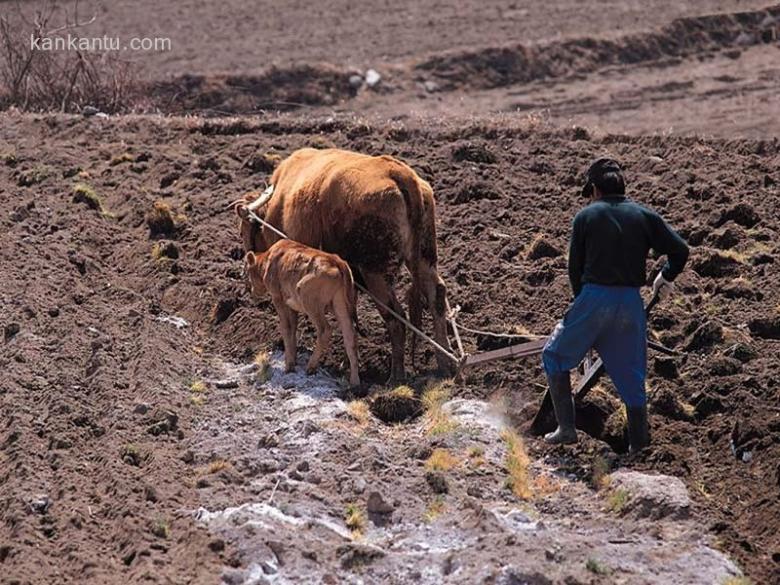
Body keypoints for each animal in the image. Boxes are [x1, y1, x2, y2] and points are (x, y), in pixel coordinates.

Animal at [245, 240, 362, 386]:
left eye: (248, 273)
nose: (251, 290)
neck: (268, 260)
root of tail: (337, 261)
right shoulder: (291, 306)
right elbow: (293, 327)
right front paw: (293, 359)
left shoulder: (278, 298)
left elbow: (286, 327)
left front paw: (289, 365)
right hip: (340, 305)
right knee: (350, 335)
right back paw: (355, 381)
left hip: (309, 301)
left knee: (325, 330)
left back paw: (311, 366)